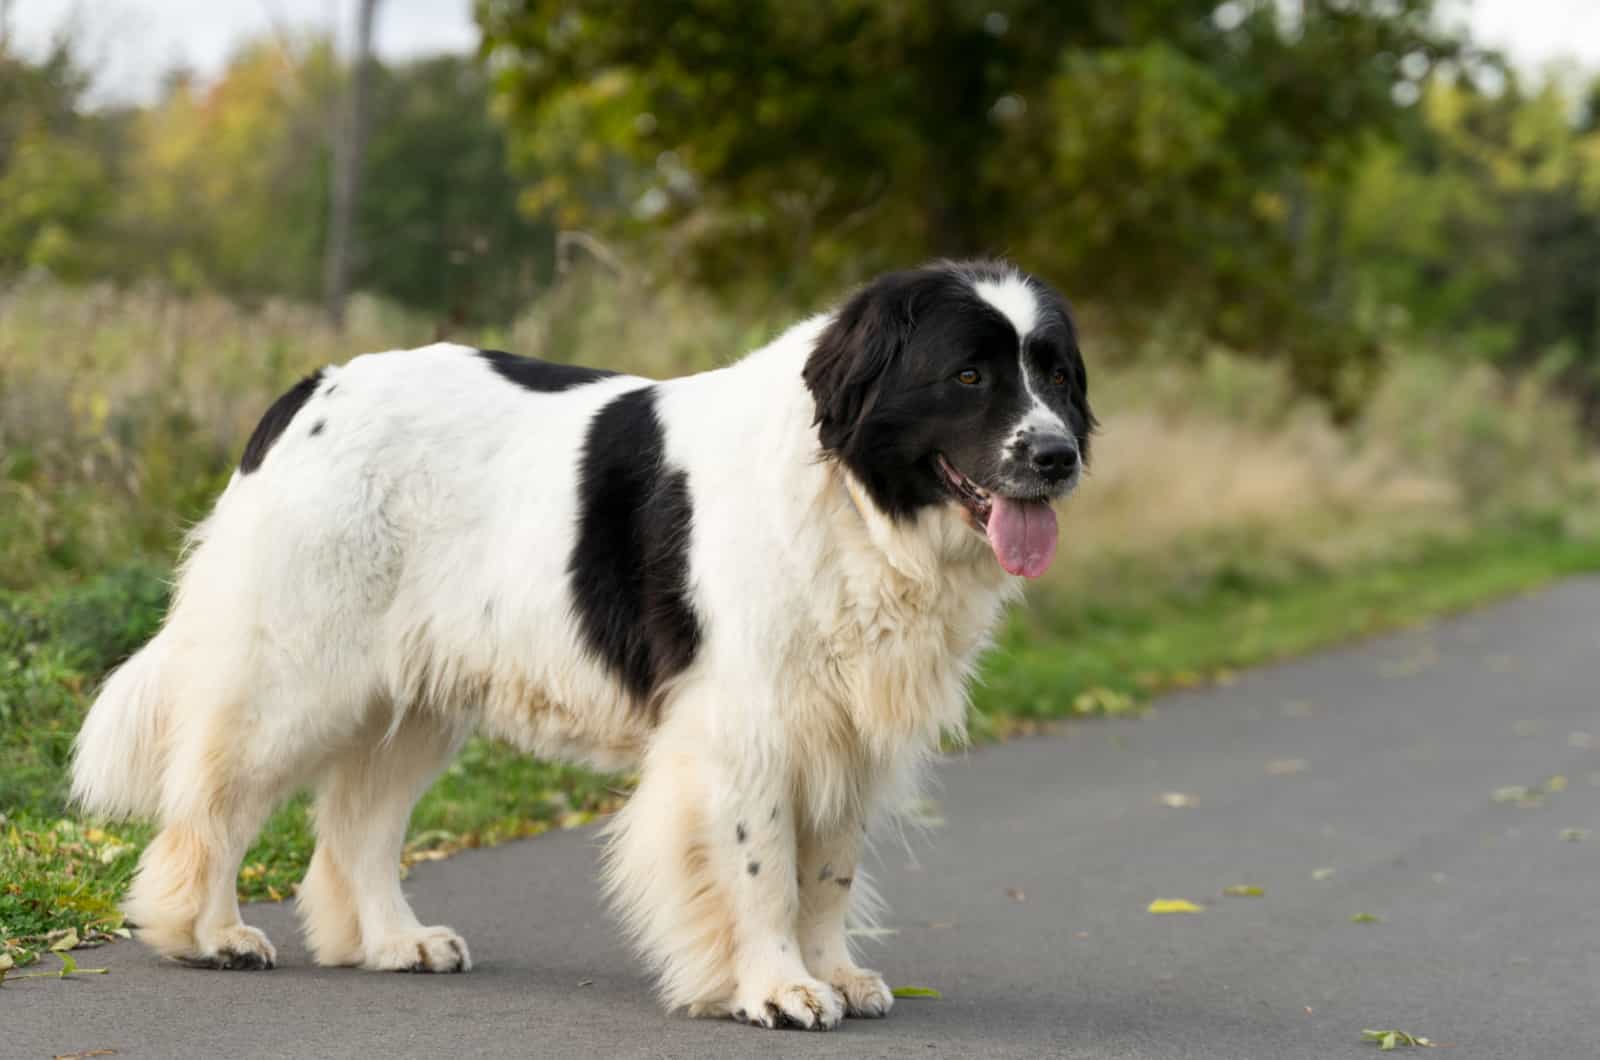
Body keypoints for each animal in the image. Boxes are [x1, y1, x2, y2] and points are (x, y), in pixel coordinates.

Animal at [81, 260, 1094, 1031]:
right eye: (969, 376)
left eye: (1055, 375)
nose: (1058, 457)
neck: (848, 491)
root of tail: (311, 387)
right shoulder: (749, 723)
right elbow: (763, 867)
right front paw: (778, 988)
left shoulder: (840, 726)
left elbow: (827, 870)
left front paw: (832, 972)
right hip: (299, 671)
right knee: (213, 800)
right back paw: (208, 935)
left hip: (412, 697)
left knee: (356, 826)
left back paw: (395, 942)